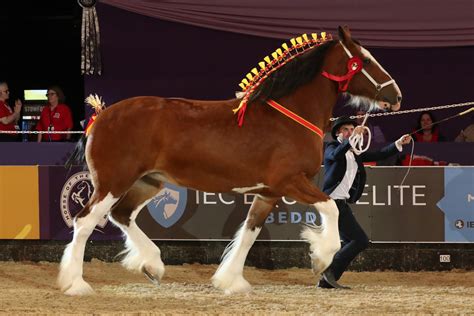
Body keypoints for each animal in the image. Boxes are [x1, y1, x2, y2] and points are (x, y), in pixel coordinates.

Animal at [58, 25, 400, 296]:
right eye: (365, 60)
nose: (396, 96)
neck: (289, 117)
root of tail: (100, 117)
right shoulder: (290, 182)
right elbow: (330, 207)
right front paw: (321, 258)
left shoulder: (268, 193)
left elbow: (249, 233)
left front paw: (230, 281)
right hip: (114, 182)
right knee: (85, 222)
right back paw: (76, 284)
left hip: (148, 182)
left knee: (122, 215)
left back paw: (152, 265)